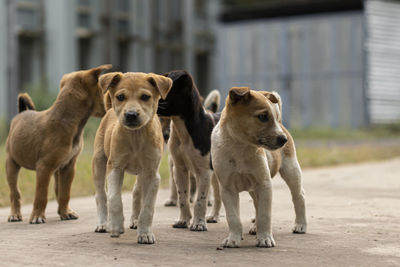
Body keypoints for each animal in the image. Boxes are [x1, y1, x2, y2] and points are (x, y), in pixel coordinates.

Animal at [5, 63, 112, 223]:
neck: (68, 121)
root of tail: (21, 113)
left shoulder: (68, 167)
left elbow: (65, 193)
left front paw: (66, 212)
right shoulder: (44, 168)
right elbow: (41, 195)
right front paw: (37, 216)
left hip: (56, 169)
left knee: (57, 190)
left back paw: (62, 211)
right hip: (11, 164)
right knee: (14, 192)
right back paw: (15, 214)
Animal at [93, 71, 173, 245]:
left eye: (145, 96)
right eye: (121, 97)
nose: (131, 115)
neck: (136, 136)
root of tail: (109, 111)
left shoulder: (152, 174)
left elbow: (148, 207)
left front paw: (145, 234)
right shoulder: (115, 168)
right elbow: (114, 198)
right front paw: (116, 226)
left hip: (141, 173)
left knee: (137, 192)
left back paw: (135, 221)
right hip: (99, 163)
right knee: (101, 195)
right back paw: (103, 223)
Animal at [212, 88, 306, 249]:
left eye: (273, 117)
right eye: (262, 116)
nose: (283, 140)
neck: (240, 148)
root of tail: (282, 124)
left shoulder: (264, 184)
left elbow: (264, 215)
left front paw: (265, 239)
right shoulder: (227, 189)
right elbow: (233, 217)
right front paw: (233, 239)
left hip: (291, 170)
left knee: (299, 196)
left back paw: (300, 225)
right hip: (253, 188)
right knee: (257, 204)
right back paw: (255, 228)